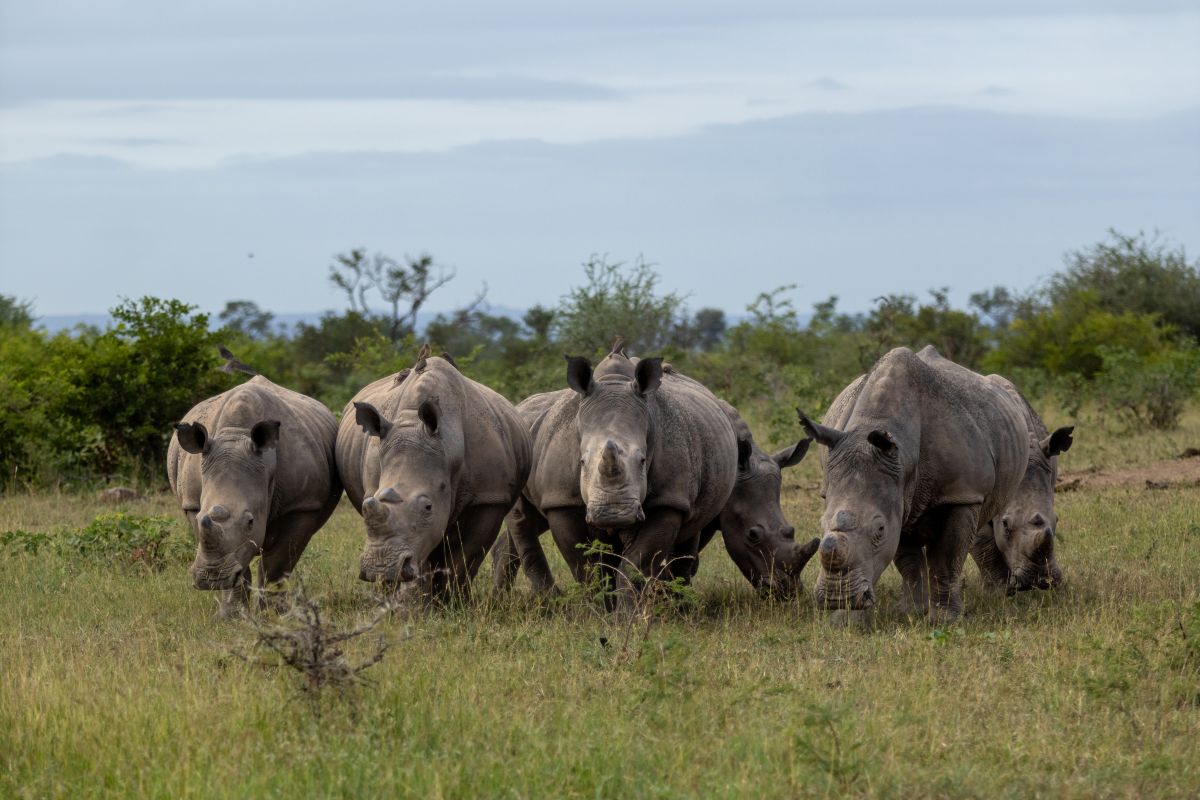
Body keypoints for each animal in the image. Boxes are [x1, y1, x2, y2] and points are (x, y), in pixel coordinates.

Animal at [167, 350, 342, 618]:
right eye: (199, 518)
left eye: (250, 521)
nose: (211, 580)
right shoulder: (192, 505)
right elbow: (236, 561)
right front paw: (230, 616)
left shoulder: (301, 505)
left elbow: (277, 563)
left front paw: (274, 614)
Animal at [336, 349, 531, 602]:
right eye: (367, 504)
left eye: (428, 507)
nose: (381, 567)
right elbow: (423, 552)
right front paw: (418, 602)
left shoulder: (489, 498)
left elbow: (464, 558)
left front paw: (454, 604)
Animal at [492, 342, 738, 602]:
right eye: (581, 461)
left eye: (642, 461)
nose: (613, 513)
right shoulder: (560, 499)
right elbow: (584, 568)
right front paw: (597, 607)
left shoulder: (669, 499)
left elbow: (634, 565)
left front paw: (624, 610)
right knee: (523, 520)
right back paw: (534, 600)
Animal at [798, 346, 1028, 623]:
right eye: (819, 524)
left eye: (879, 530)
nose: (835, 598)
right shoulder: (898, 496)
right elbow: (907, 559)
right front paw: (908, 613)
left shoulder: (962, 494)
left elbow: (946, 559)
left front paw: (944, 620)